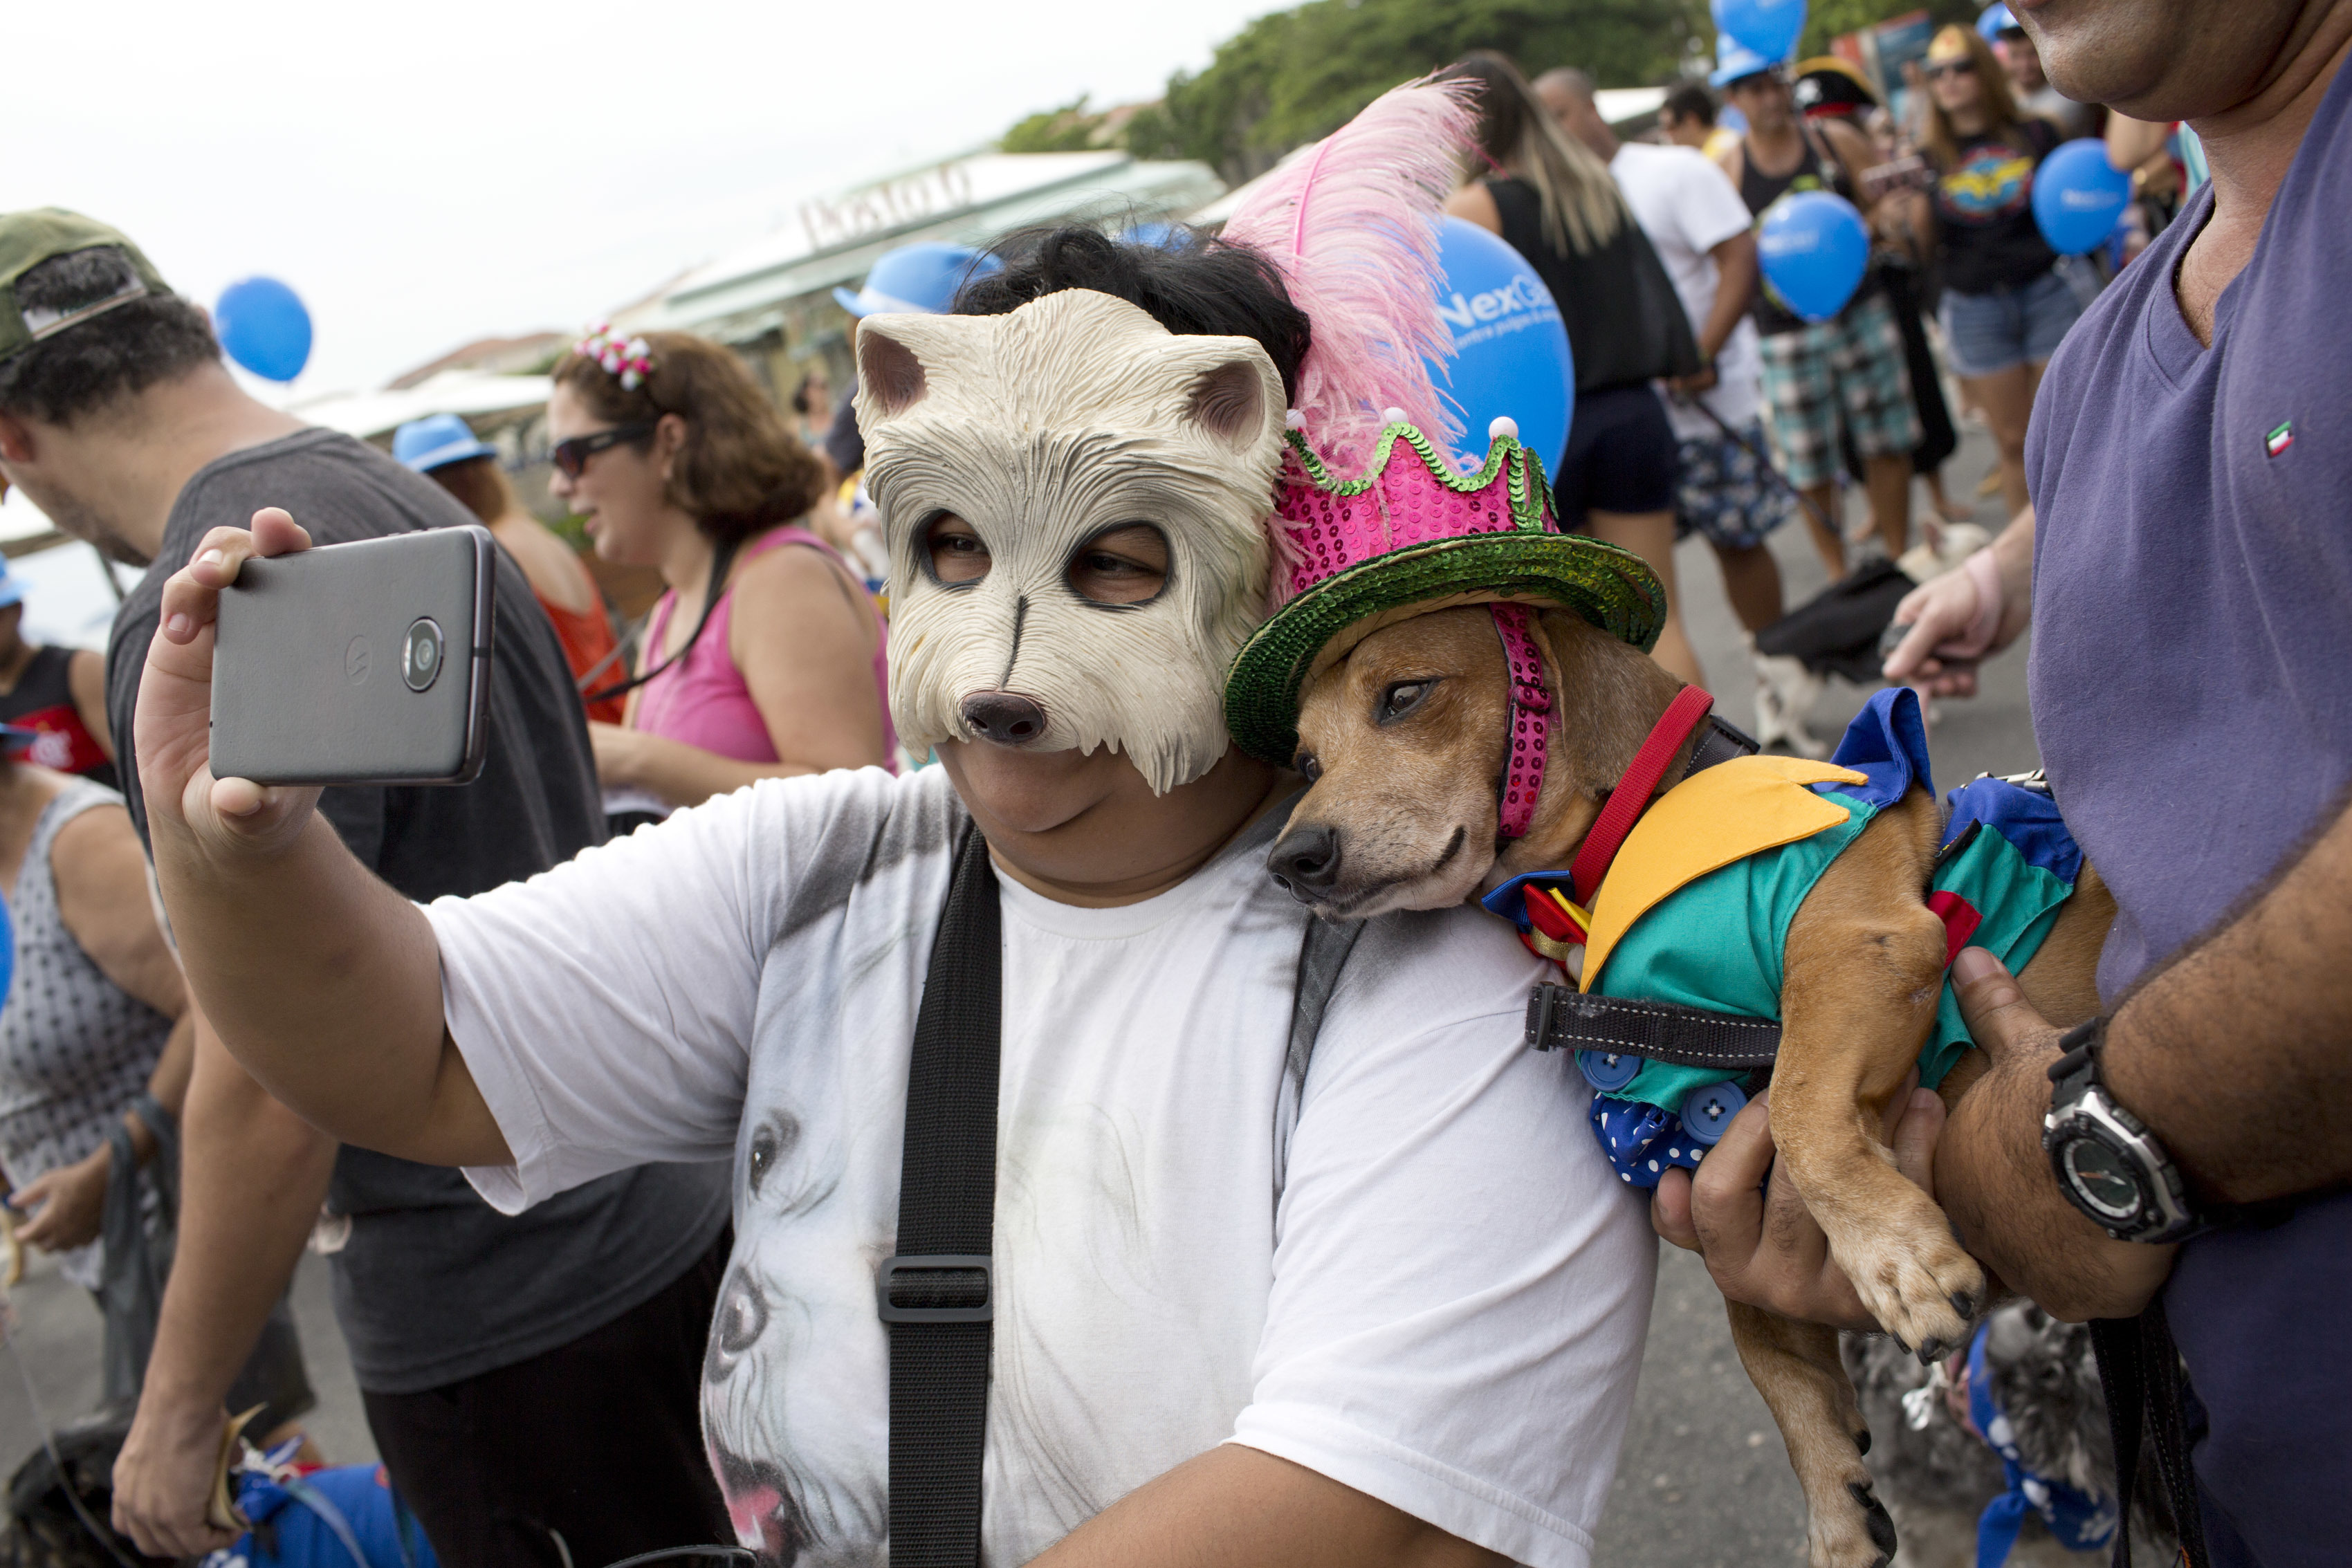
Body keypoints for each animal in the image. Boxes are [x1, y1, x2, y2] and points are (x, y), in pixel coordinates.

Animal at [1270, 606, 2117, 1568]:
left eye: (1405, 694)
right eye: (1305, 762)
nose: (1289, 858)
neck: (1607, 871)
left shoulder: (1859, 944)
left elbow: (1799, 1111)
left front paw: (1895, 1256)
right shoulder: (1707, 1158)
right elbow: (1760, 1336)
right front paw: (1833, 1492)